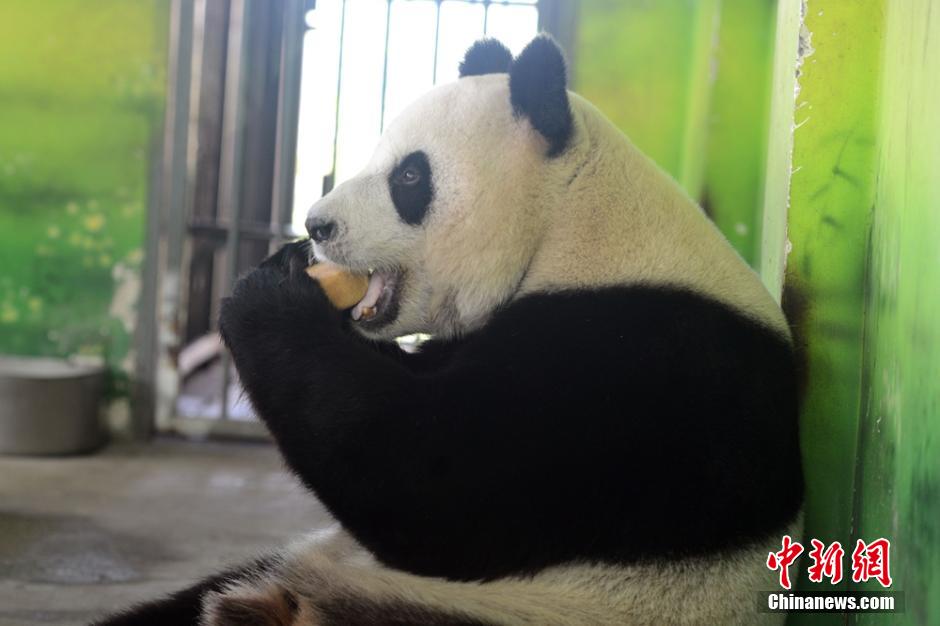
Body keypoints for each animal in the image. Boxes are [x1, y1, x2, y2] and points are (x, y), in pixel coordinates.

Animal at [104, 35, 808, 624]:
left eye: (409, 176)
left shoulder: (646, 364)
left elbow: (439, 484)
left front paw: (267, 295)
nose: (317, 224)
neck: (570, 221)